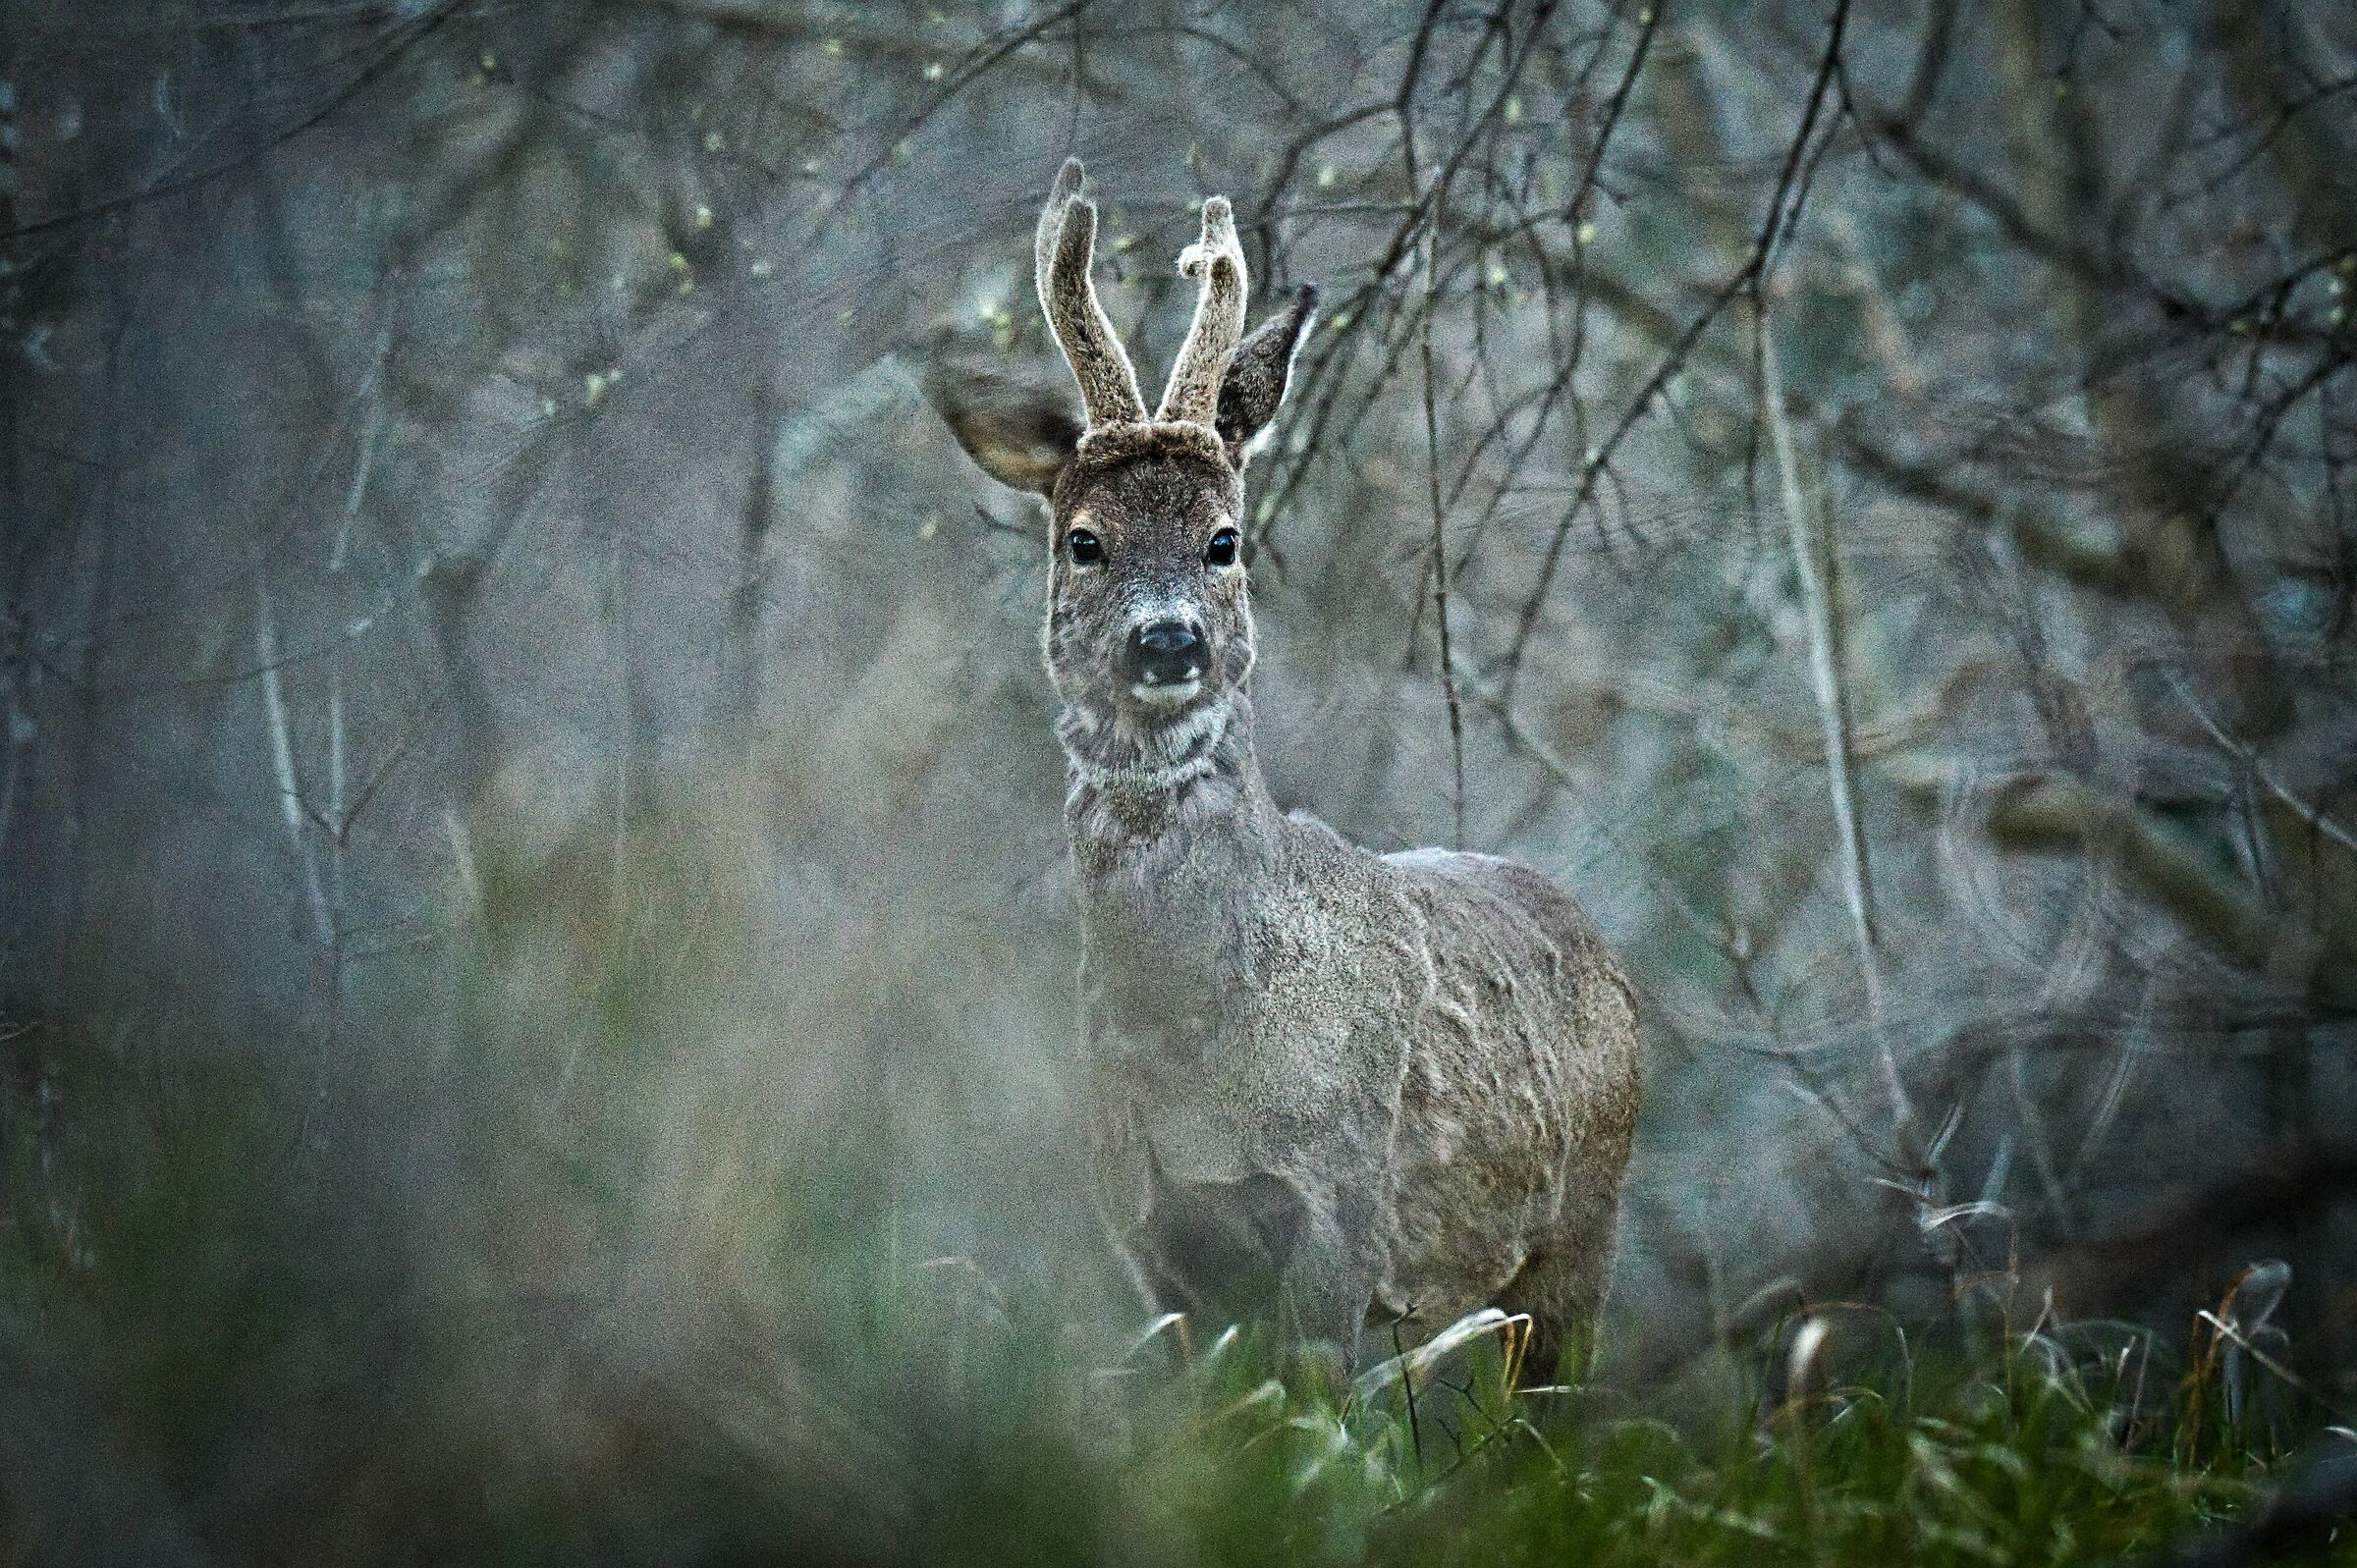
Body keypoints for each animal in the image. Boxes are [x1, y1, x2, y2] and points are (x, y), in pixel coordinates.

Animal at [929, 159, 1641, 1379]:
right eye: (1084, 539)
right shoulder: (1147, 1231)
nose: (1168, 640)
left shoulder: (1340, 1202)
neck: (1198, 1060)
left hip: (1582, 1228)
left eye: (1224, 539)